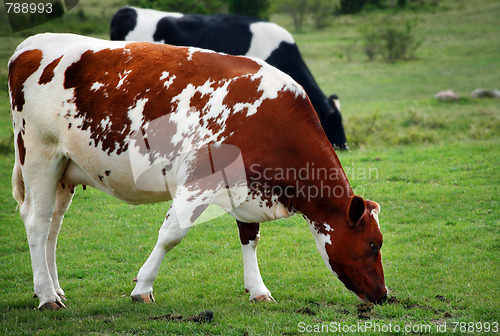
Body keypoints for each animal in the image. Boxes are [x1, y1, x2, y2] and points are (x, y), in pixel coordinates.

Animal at [8, 33, 386, 310]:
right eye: (373, 244)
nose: (383, 294)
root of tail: (30, 45)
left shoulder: (245, 186)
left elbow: (249, 237)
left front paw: (258, 290)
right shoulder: (197, 181)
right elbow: (171, 234)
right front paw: (142, 288)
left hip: (65, 170)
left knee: (53, 226)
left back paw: (54, 289)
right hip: (39, 154)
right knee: (37, 221)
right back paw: (47, 297)